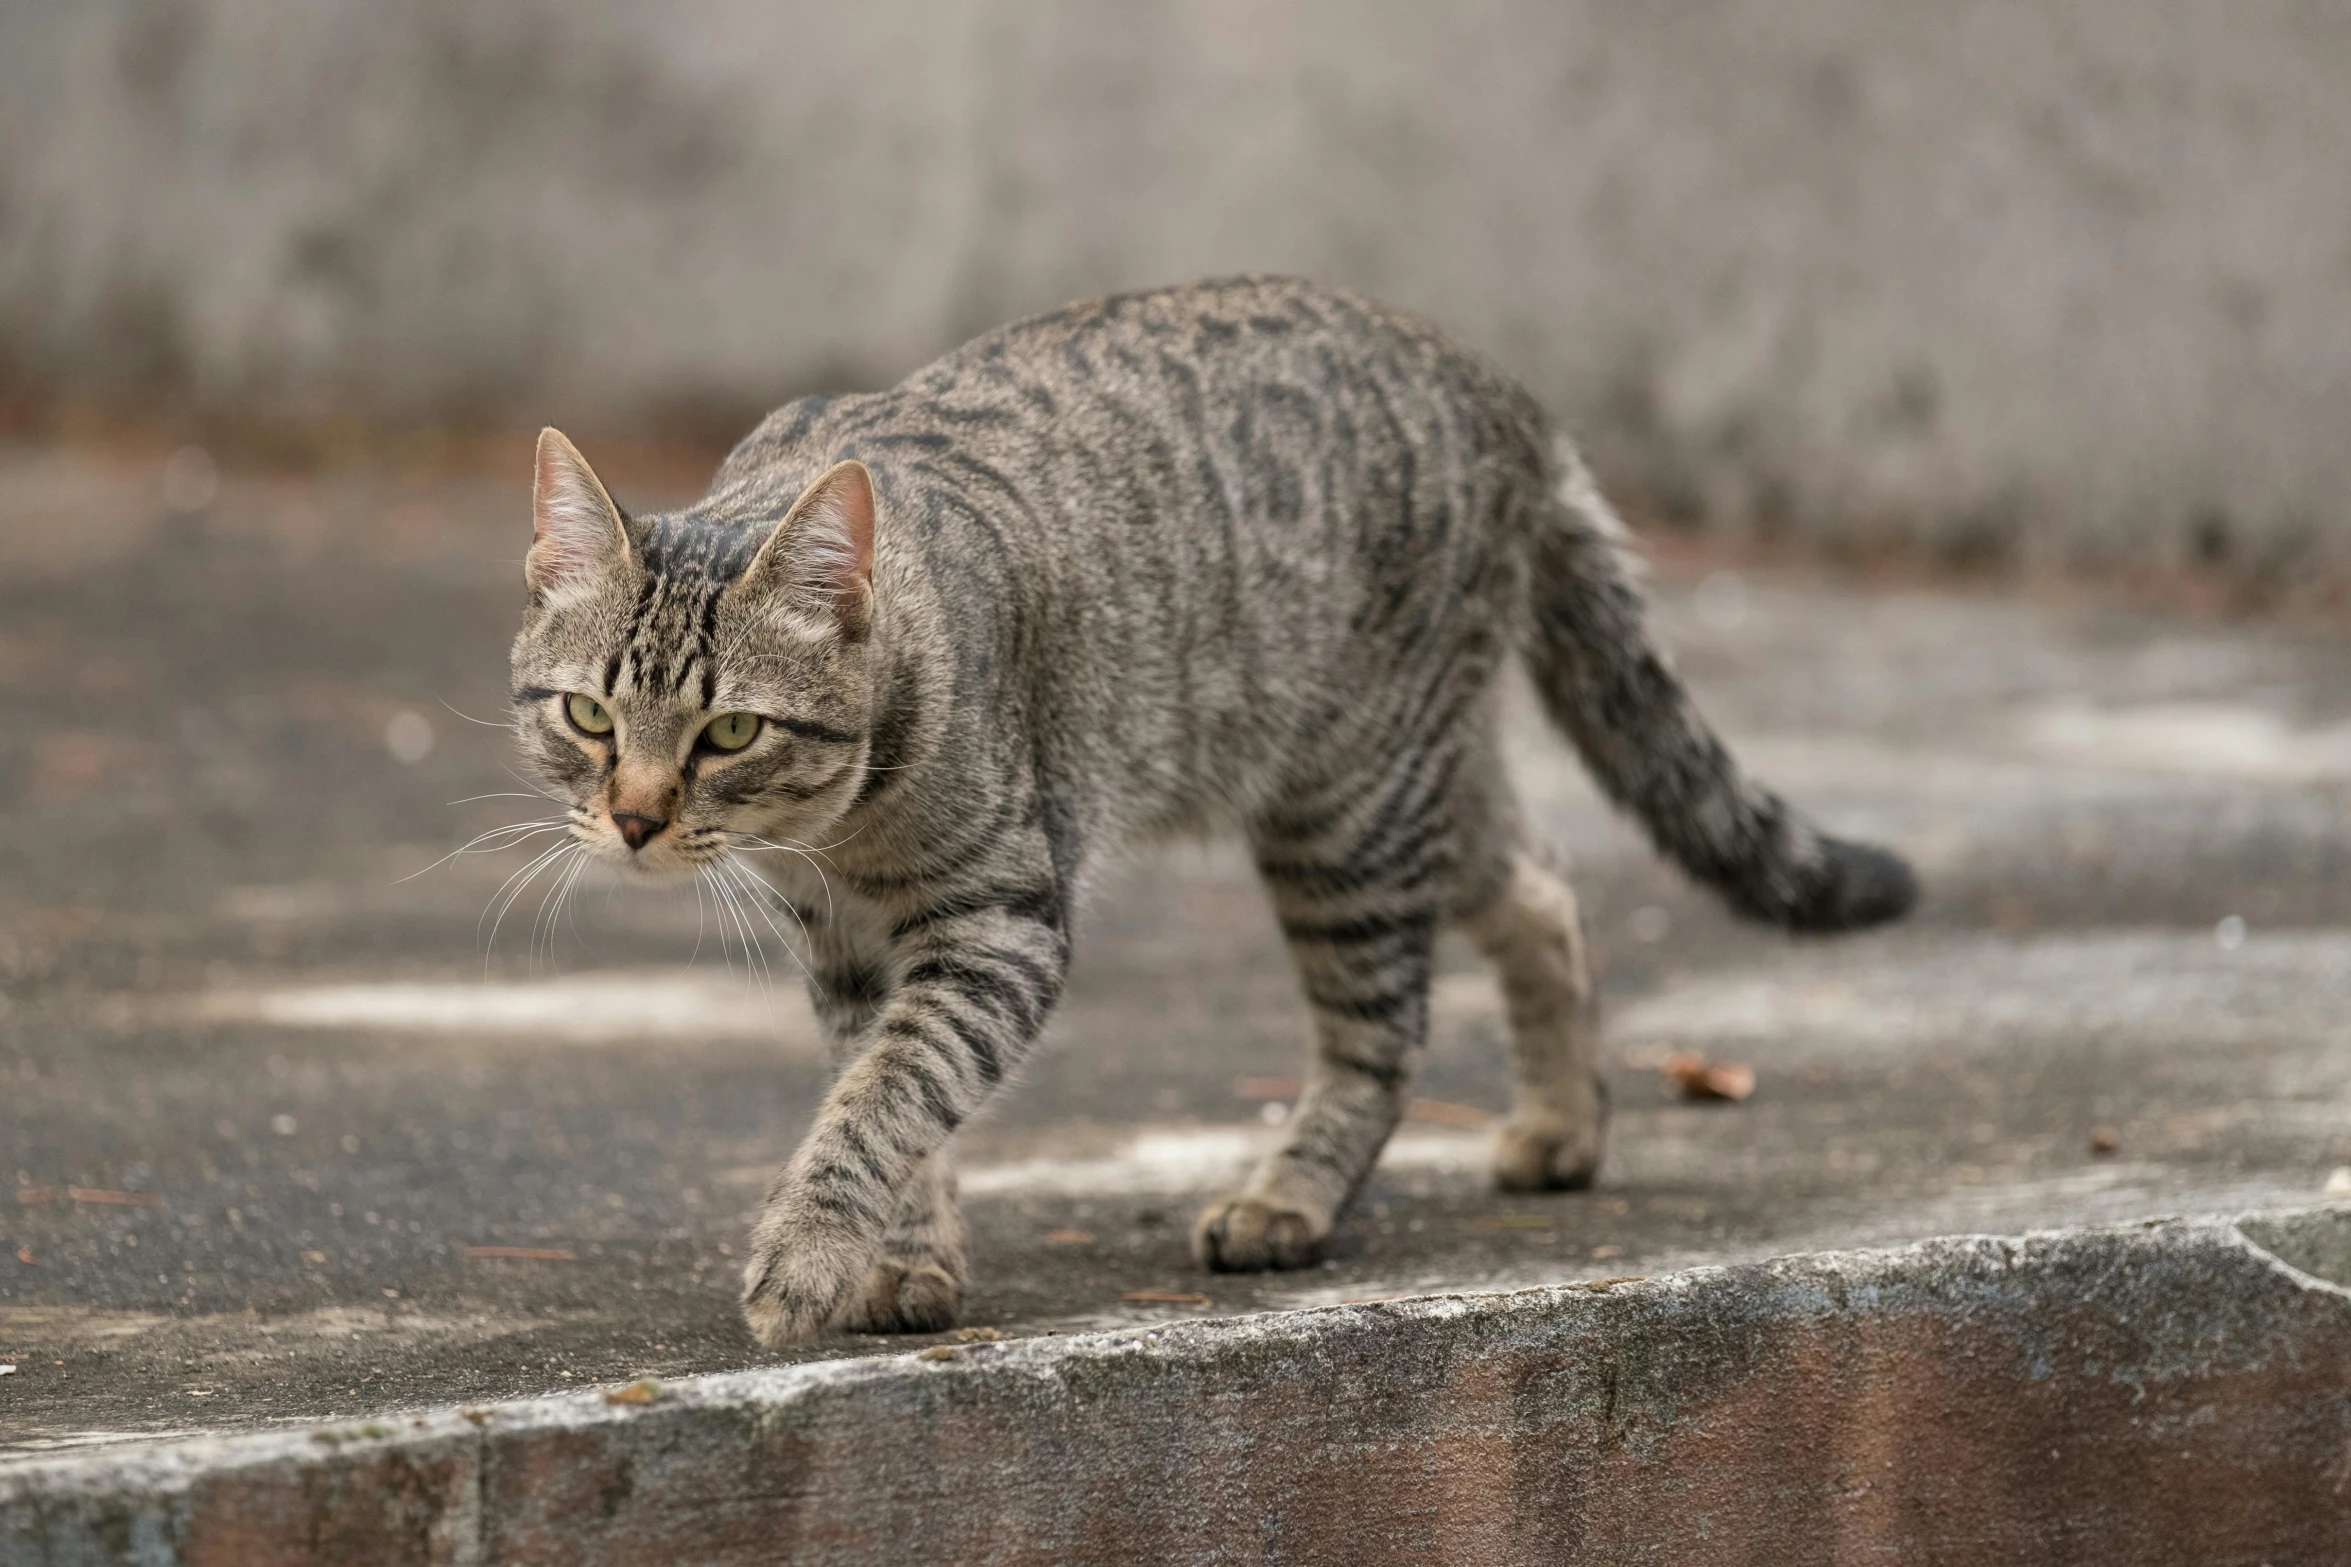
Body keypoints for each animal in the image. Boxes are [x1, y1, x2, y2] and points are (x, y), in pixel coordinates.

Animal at [510, 272, 1909, 1353]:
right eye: (588, 718)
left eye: (728, 732)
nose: (634, 819)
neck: (834, 840)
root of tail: (1490, 381)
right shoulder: (848, 947)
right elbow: (885, 1090)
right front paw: (903, 1259)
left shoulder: (999, 924)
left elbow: (890, 1094)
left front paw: (807, 1254)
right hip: (1410, 779)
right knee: (1537, 884)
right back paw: (1563, 1124)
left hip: (1346, 809)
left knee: (1385, 1031)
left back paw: (1288, 1198)